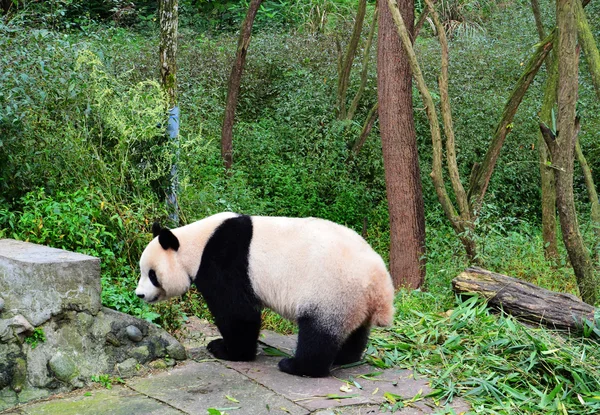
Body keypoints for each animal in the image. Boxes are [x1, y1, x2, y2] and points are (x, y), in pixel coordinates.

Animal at [138, 213, 396, 378]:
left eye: (152, 274)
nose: (139, 295)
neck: (196, 243)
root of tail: (380, 283)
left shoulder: (225, 262)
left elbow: (238, 313)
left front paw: (226, 350)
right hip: (354, 301)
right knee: (355, 331)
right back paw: (345, 357)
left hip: (332, 291)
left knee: (318, 334)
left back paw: (296, 366)